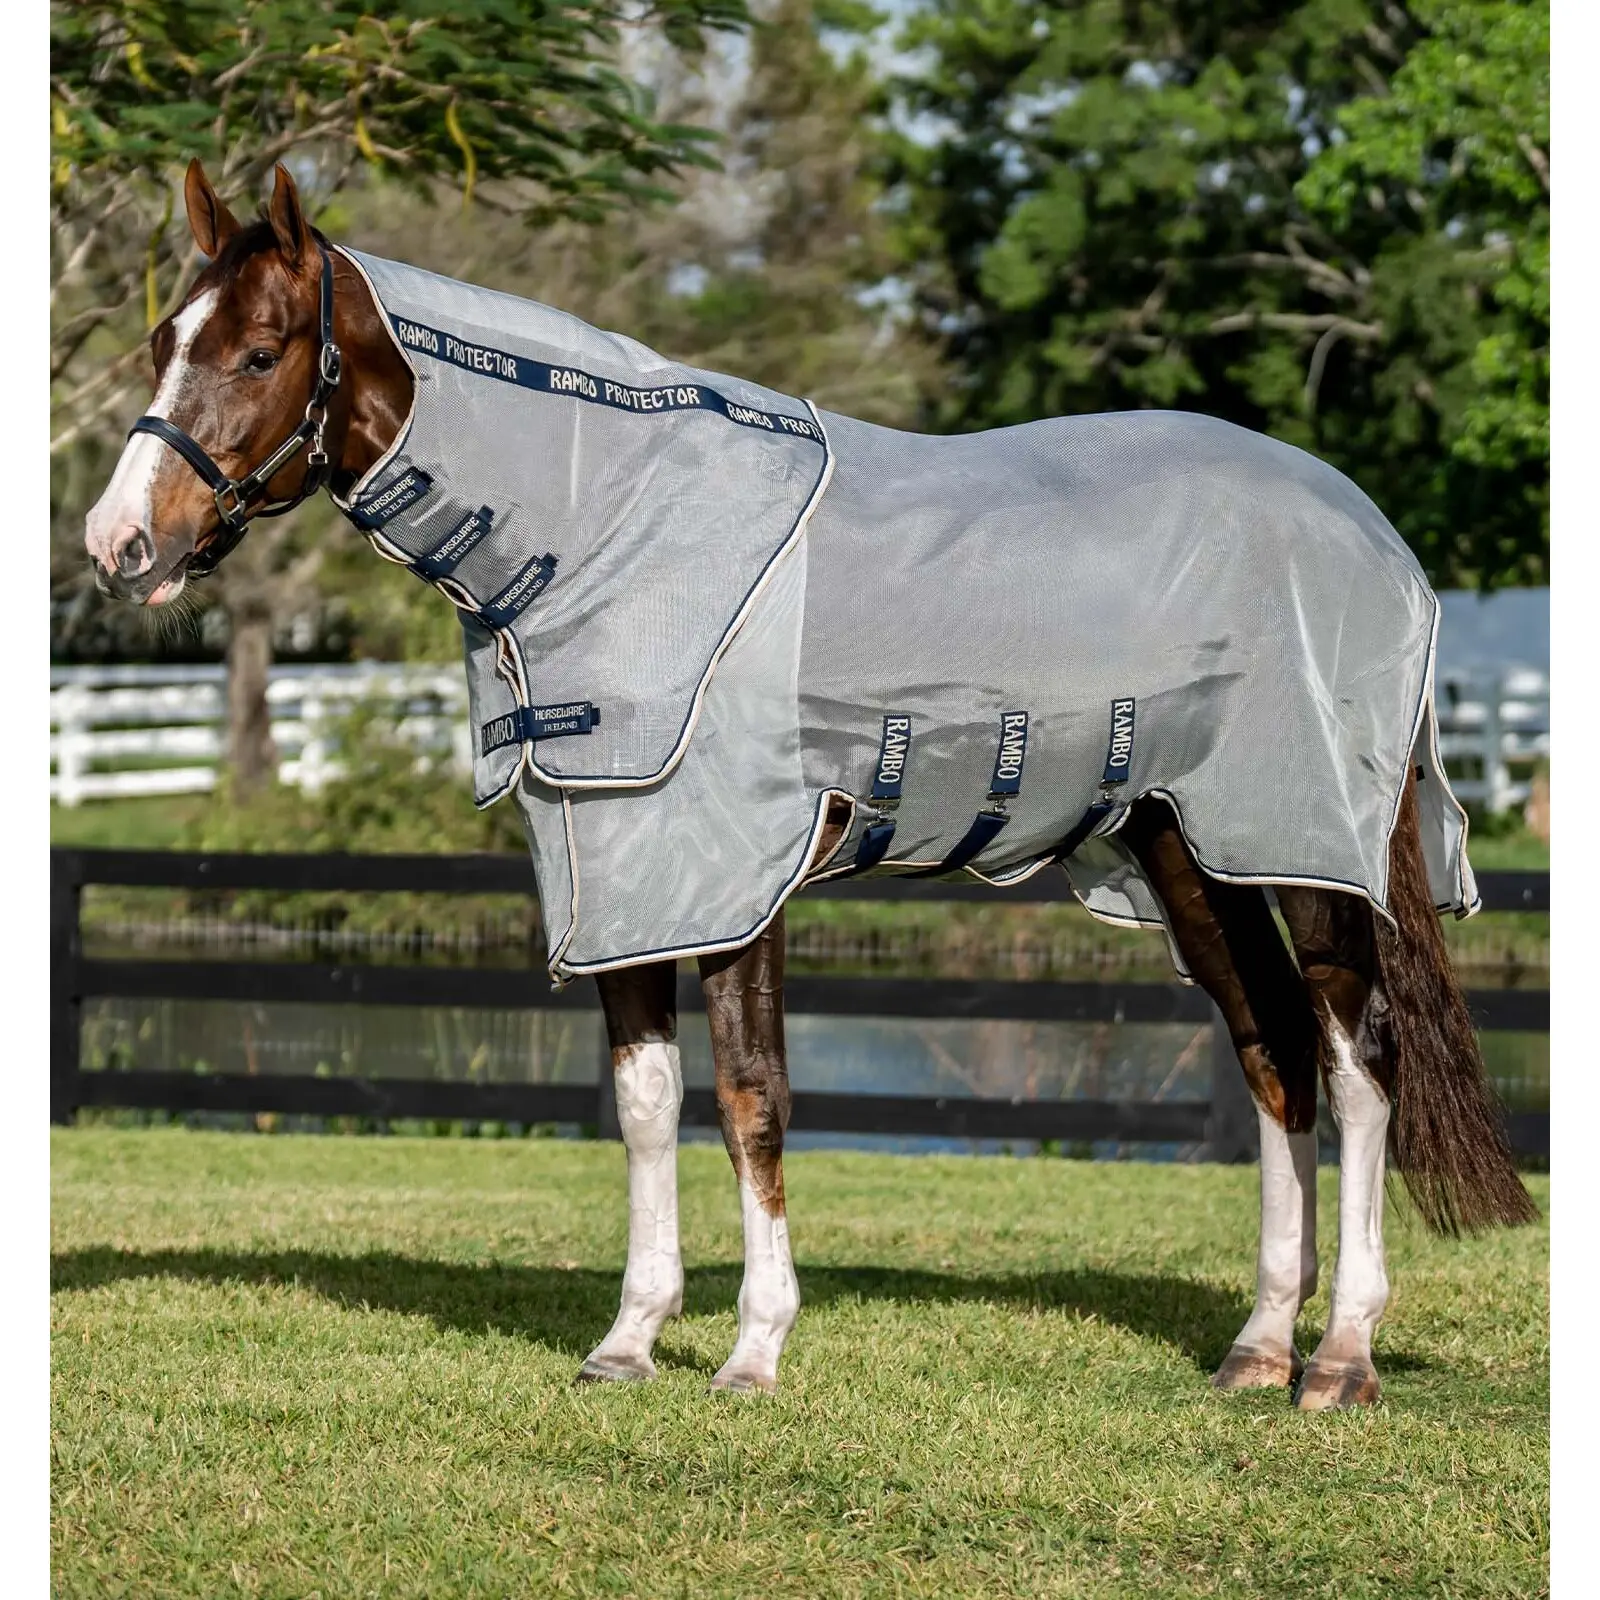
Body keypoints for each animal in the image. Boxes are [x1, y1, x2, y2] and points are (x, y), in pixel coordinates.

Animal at [84, 160, 1536, 1408]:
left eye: (258, 352)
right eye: (163, 341)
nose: (120, 544)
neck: (611, 527)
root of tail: (1372, 533)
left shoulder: (741, 876)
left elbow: (752, 1097)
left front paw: (753, 1350)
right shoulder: (624, 869)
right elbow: (645, 1102)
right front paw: (629, 1339)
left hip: (1311, 847)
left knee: (1359, 1060)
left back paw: (1339, 1359)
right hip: (1194, 850)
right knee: (1274, 1051)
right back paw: (1255, 1348)